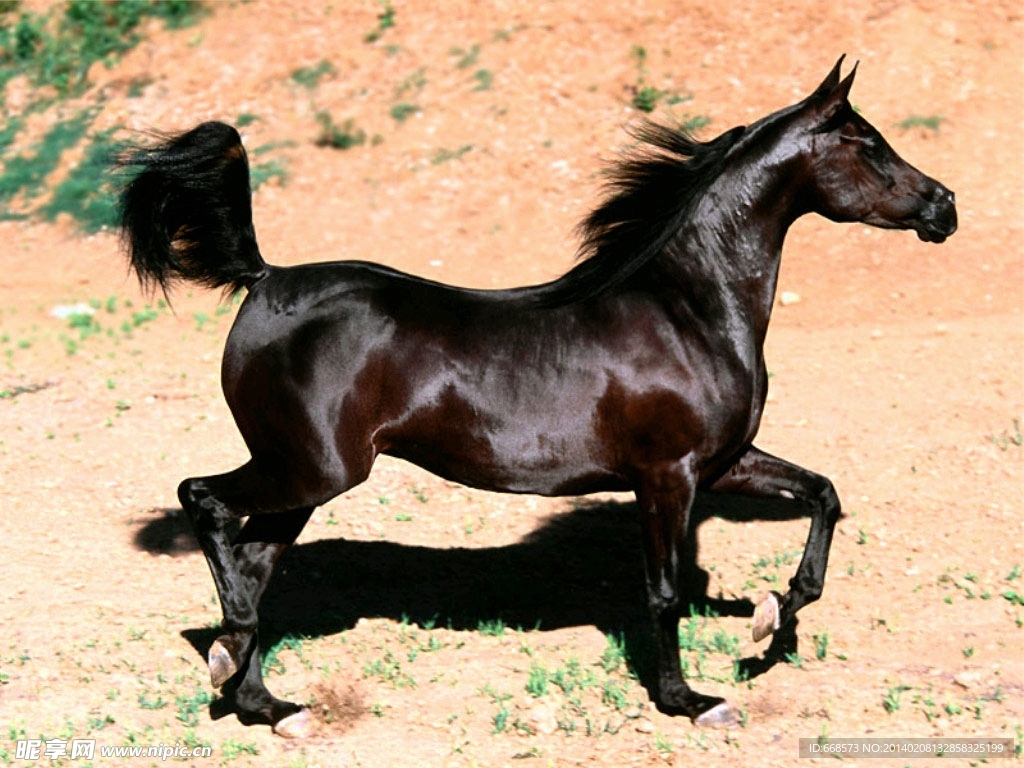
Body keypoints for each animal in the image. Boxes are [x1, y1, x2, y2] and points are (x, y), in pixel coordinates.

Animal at [118, 56, 956, 737]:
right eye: (868, 143)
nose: (944, 206)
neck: (687, 308)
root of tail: (264, 280)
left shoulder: (723, 462)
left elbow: (823, 494)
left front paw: (771, 618)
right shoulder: (668, 476)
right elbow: (664, 592)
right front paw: (691, 700)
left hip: (305, 480)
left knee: (254, 561)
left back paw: (265, 702)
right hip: (310, 468)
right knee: (204, 502)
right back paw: (230, 655)